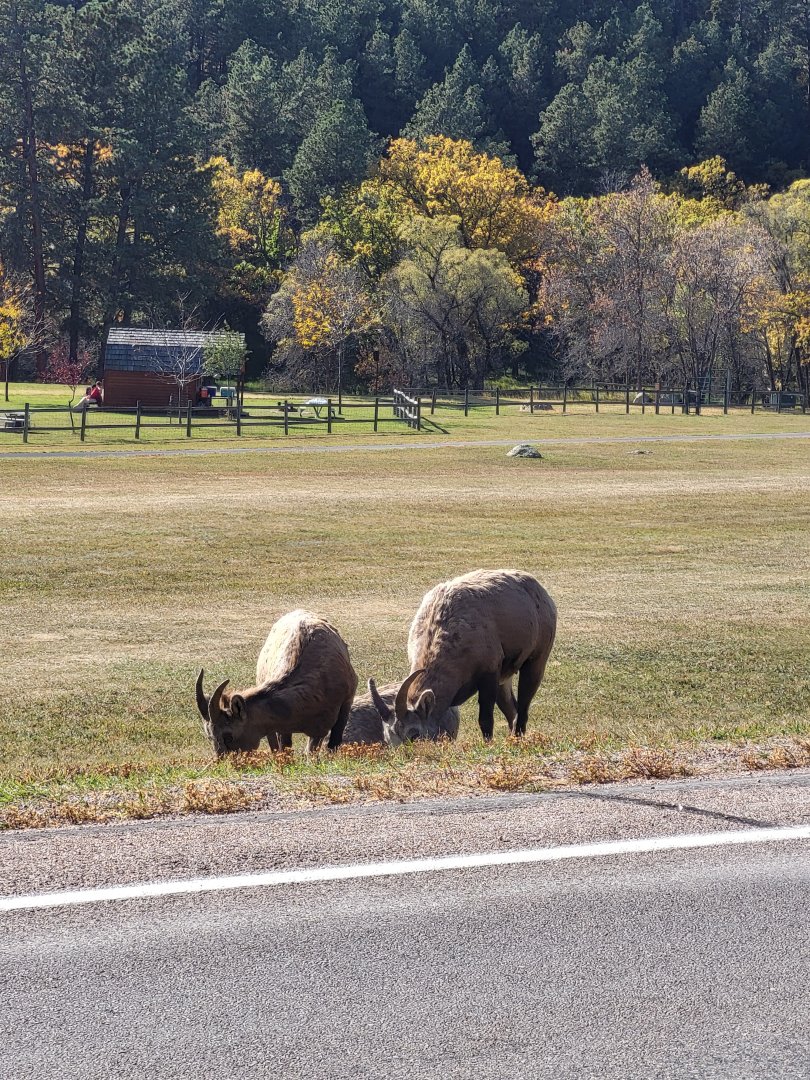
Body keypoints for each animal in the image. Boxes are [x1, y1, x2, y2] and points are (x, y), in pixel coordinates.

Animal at [370, 570, 556, 743]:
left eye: (414, 734)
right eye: (388, 738)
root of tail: (540, 592)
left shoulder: (489, 675)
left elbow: (485, 720)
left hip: (535, 663)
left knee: (523, 708)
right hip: (504, 680)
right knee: (513, 711)